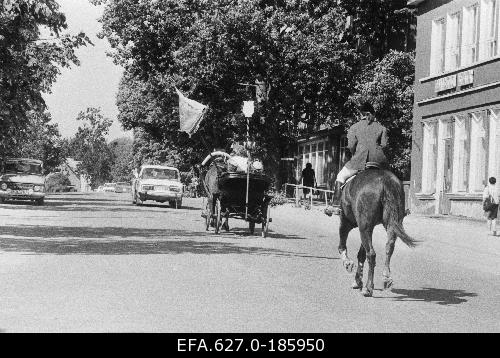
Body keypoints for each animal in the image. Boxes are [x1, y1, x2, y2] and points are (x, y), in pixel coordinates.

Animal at [338, 167, 416, 296]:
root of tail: (386, 180)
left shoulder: (347, 223)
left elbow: (342, 246)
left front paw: (348, 264)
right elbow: (361, 254)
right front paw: (357, 280)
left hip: (364, 227)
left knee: (371, 254)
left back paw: (369, 288)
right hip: (390, 224)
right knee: (389, 247)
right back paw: (386, 278)